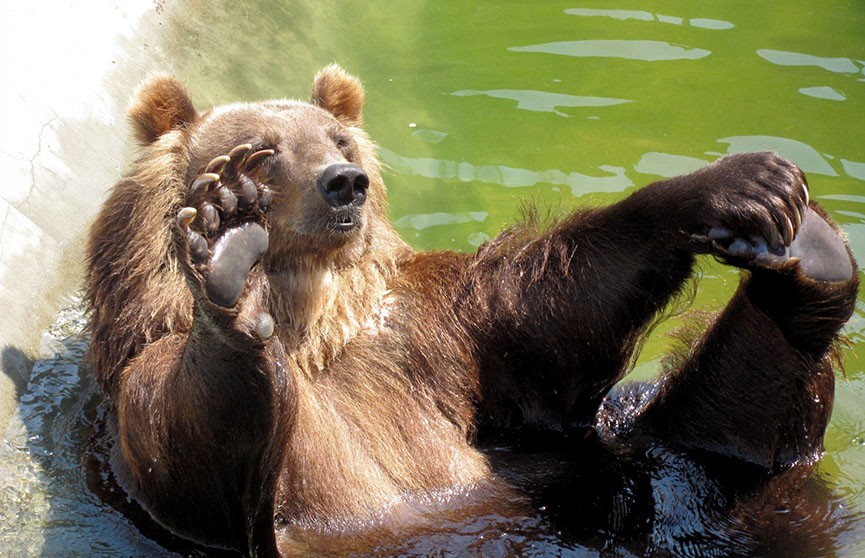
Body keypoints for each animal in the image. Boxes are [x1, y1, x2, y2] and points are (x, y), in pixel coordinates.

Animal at [82, 63, 856, 556]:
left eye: (337, 139)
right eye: (264, 152)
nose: (344, 182)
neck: (316, 323)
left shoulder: (431, 334)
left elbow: (543, 315)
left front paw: (736, 183)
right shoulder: (153, 395)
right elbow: (192, 439)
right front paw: (227, 248)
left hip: (636, 458)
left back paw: (810, 258)